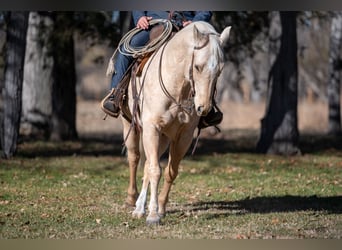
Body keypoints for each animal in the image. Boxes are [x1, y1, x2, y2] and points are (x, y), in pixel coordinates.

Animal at [121, 22, 231, 225]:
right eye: (197, 67)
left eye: (220, 70)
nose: (203, 108)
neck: (178, 88)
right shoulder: (151, 128)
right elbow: (155, 170)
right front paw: (153, 215)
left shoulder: (183, 136)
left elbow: (170, 171)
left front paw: (161, 208)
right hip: (131, 126)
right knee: (135, 158)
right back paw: (133, 202)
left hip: (163, 137)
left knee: (147, 165)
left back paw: (140, 207)